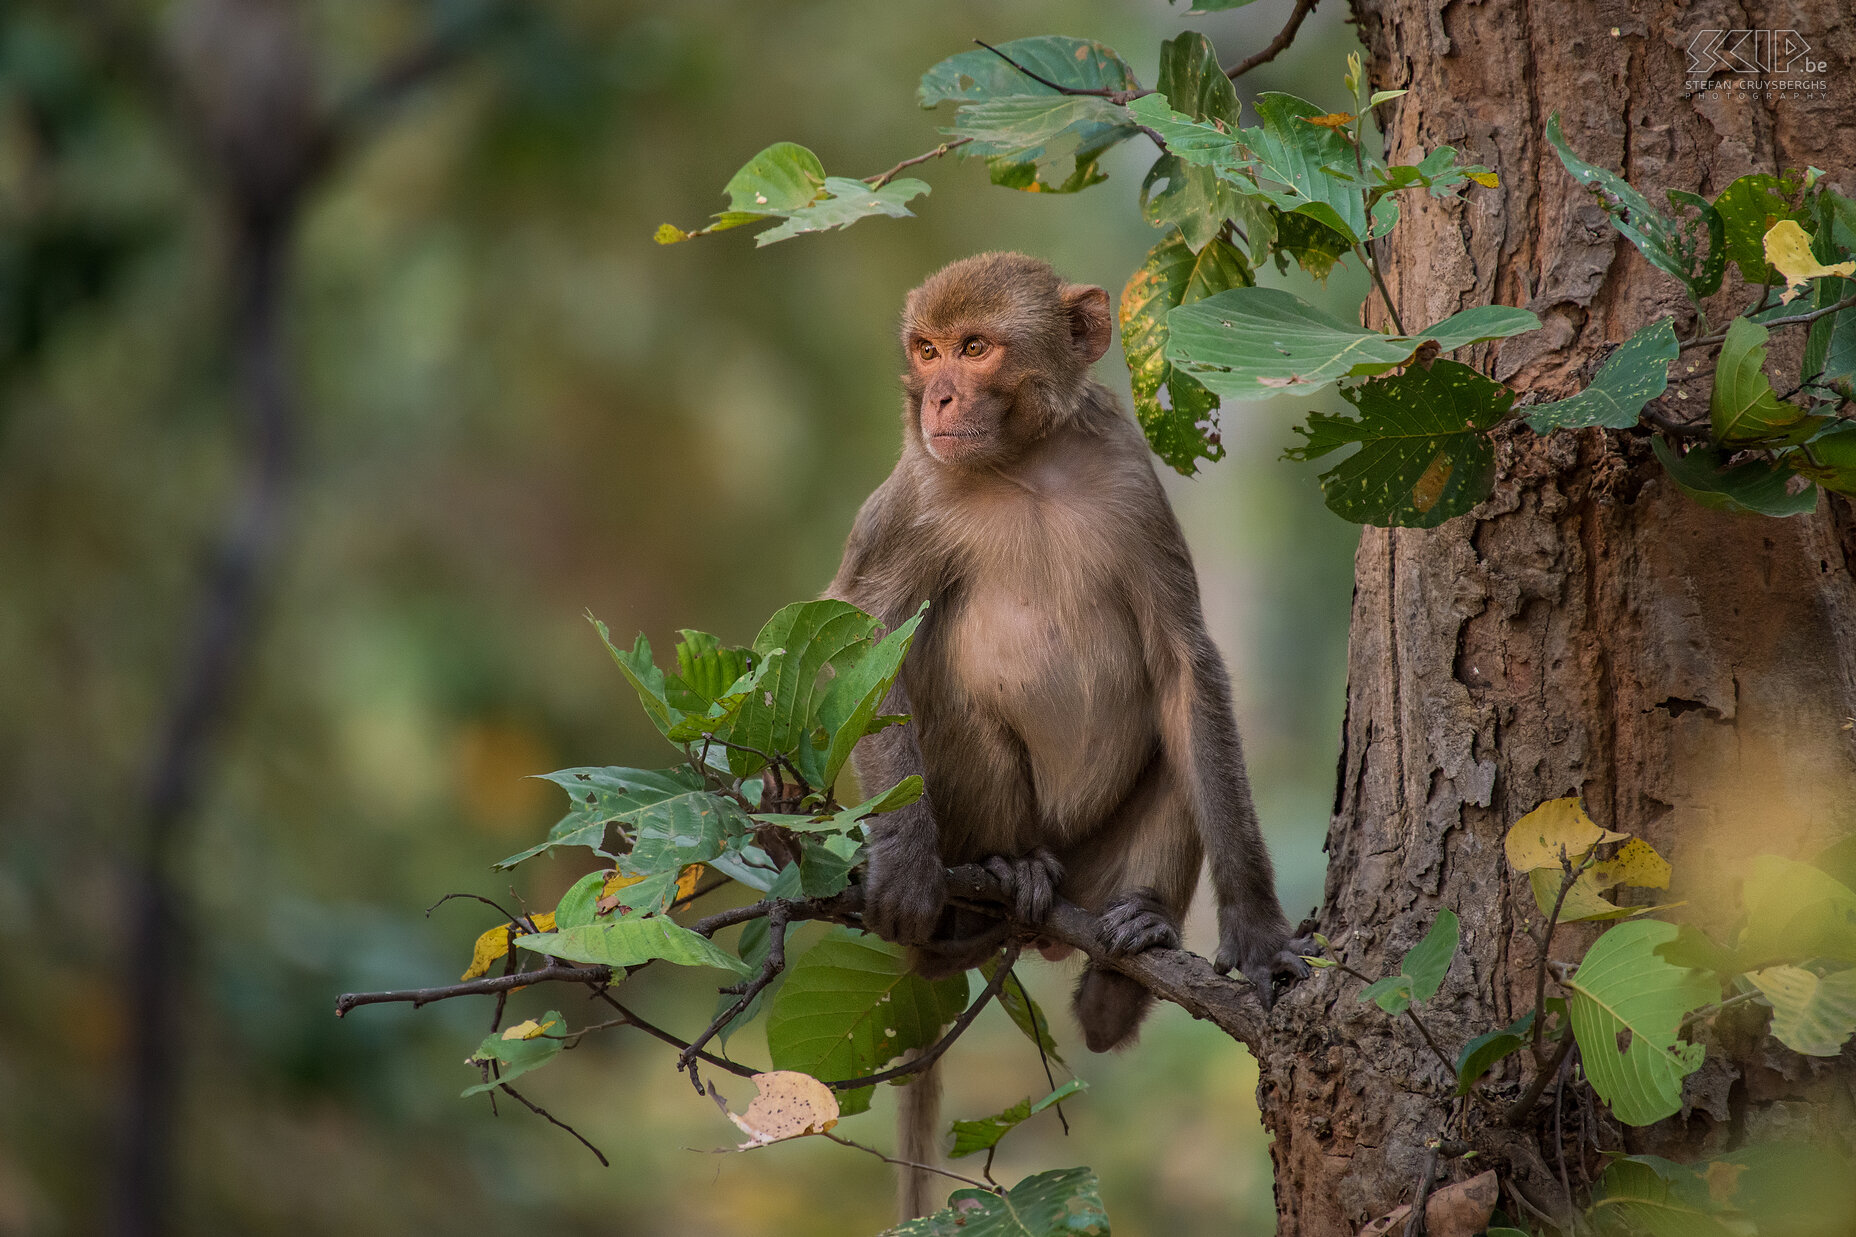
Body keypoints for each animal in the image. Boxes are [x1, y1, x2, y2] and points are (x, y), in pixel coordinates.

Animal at [827, 250, 1306, 1210]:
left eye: (975, 347)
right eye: (928, 349)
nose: (938, 397)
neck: (1027, 465)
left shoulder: (1127, 473)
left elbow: (1184, 669)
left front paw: (1258, 927)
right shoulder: (912, 496)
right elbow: (863, 645)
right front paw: (902, 854)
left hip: (1100, 860)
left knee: (1180, 747)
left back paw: (1127, 959)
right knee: (947, 694)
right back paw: (999, 877)